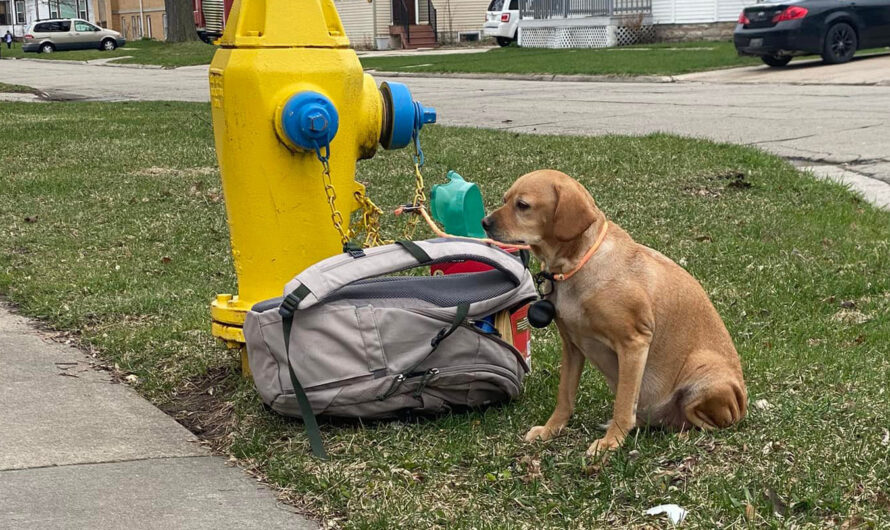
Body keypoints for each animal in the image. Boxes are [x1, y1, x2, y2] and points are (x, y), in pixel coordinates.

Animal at [482, 169, 744, 454]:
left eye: (523, 205)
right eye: (505, 199)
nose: (484, 222)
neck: (576, 265)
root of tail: (742, 404)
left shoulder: (634, 343)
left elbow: (623, 403)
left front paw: (611, 442)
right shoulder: (572, 345)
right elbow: (565, 396)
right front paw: (551, 430)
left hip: (704, 378)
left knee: (709, 424)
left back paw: (683, 435)